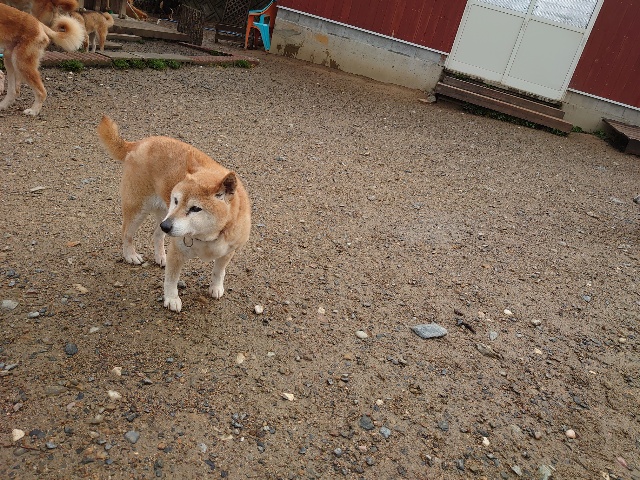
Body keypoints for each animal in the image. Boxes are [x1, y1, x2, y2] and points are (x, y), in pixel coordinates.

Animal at [97, 116, 252, 312]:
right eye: (177, 200)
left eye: (195, 208)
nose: (166, 226)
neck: (208, 237)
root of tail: (139, 143)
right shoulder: (177, 251)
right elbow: (171, 279)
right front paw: (171, 298)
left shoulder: (228, 251)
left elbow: (219, 271)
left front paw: (216, 287)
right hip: (140, 210)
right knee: (127, 234)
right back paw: (131, 255)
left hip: (163, 213)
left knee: (157, 235)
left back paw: (160, 256)